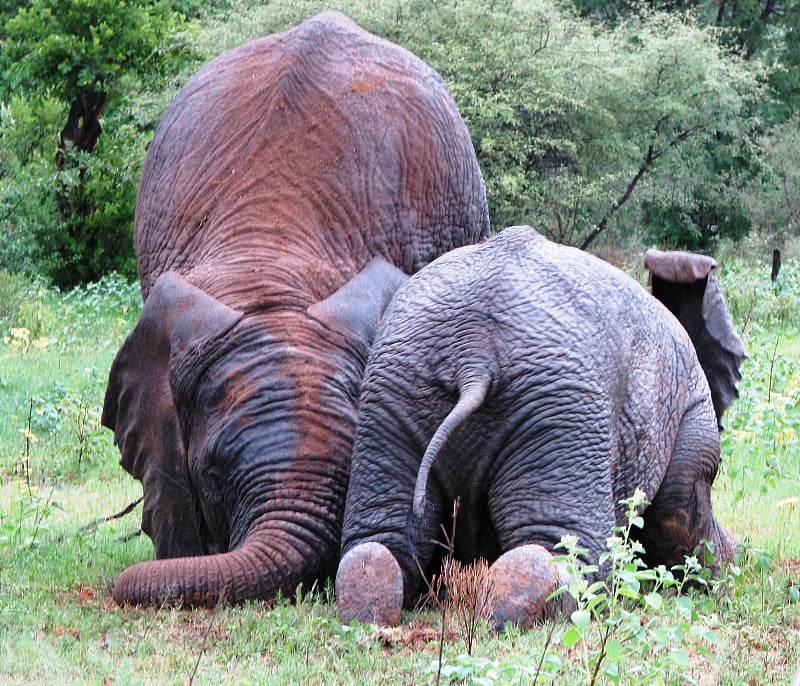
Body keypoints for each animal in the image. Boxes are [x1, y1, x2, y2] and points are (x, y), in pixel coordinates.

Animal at [332, 226, 744, 628]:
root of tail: (473, 355)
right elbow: (680, 516)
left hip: (394, 388)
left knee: (378, 543)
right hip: (560, 401)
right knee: (566, 553)